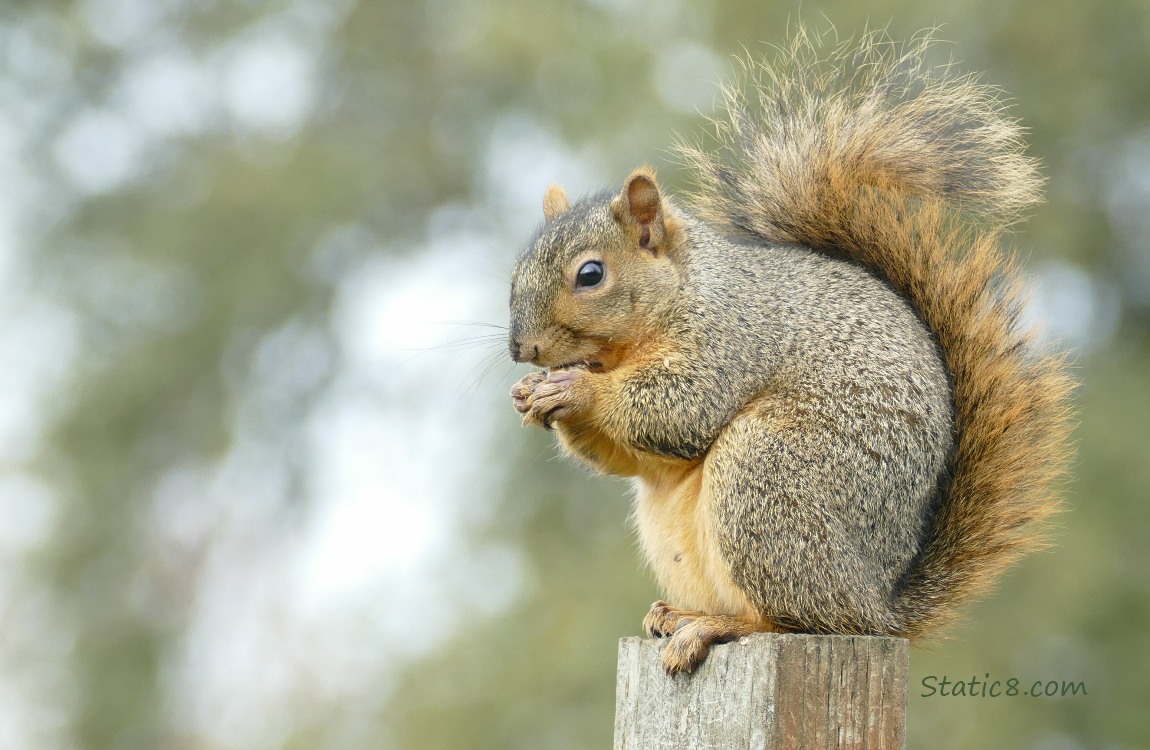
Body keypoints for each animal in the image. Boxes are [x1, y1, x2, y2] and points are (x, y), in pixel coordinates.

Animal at [508, 29, 1071, 671]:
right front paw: (530, 396)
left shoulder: (729, 338)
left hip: (768, 478)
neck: (681, 293)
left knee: (799, 618)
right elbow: (632, 458)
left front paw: (576, 389)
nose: (520, 348)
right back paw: (676, 614)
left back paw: (715, 627)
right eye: (518, 269)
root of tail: (878, 605)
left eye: (591, 274)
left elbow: (681, 409)